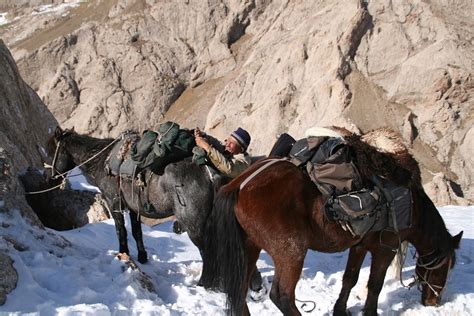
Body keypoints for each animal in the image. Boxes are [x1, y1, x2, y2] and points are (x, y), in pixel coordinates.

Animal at [201, 130, 462, 314]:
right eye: (446, 267)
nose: (433, 301)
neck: (410, 203)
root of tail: (239, 185)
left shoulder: (360, 246)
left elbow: (350, 279)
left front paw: (340, 310)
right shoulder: (385, 249)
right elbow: (374, 284)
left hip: (249, 249)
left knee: (240, 292)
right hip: (290, 252)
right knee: (282, 296)